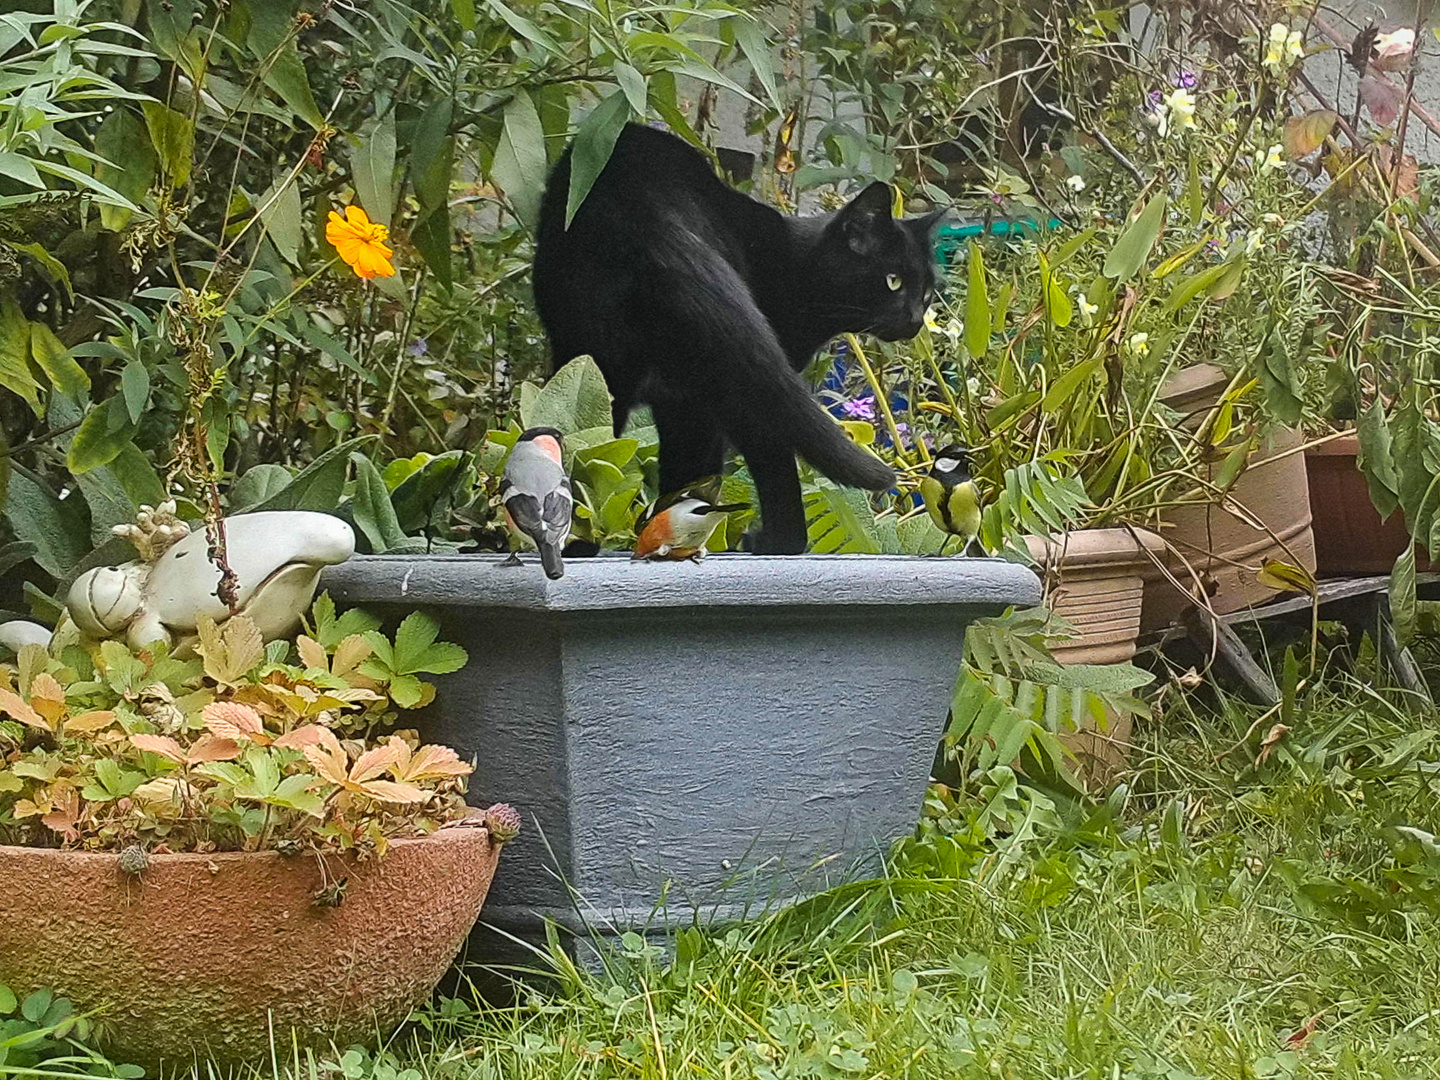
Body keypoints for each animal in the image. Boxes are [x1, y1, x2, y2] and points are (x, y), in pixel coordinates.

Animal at [529, 122, 944, 552]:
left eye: (927, 292)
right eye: (893, 282)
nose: (916, 320)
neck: (798, 272)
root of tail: (645, 212)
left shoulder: (684, 402)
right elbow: (773, 465)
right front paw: (779, 543)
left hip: (598, 358)